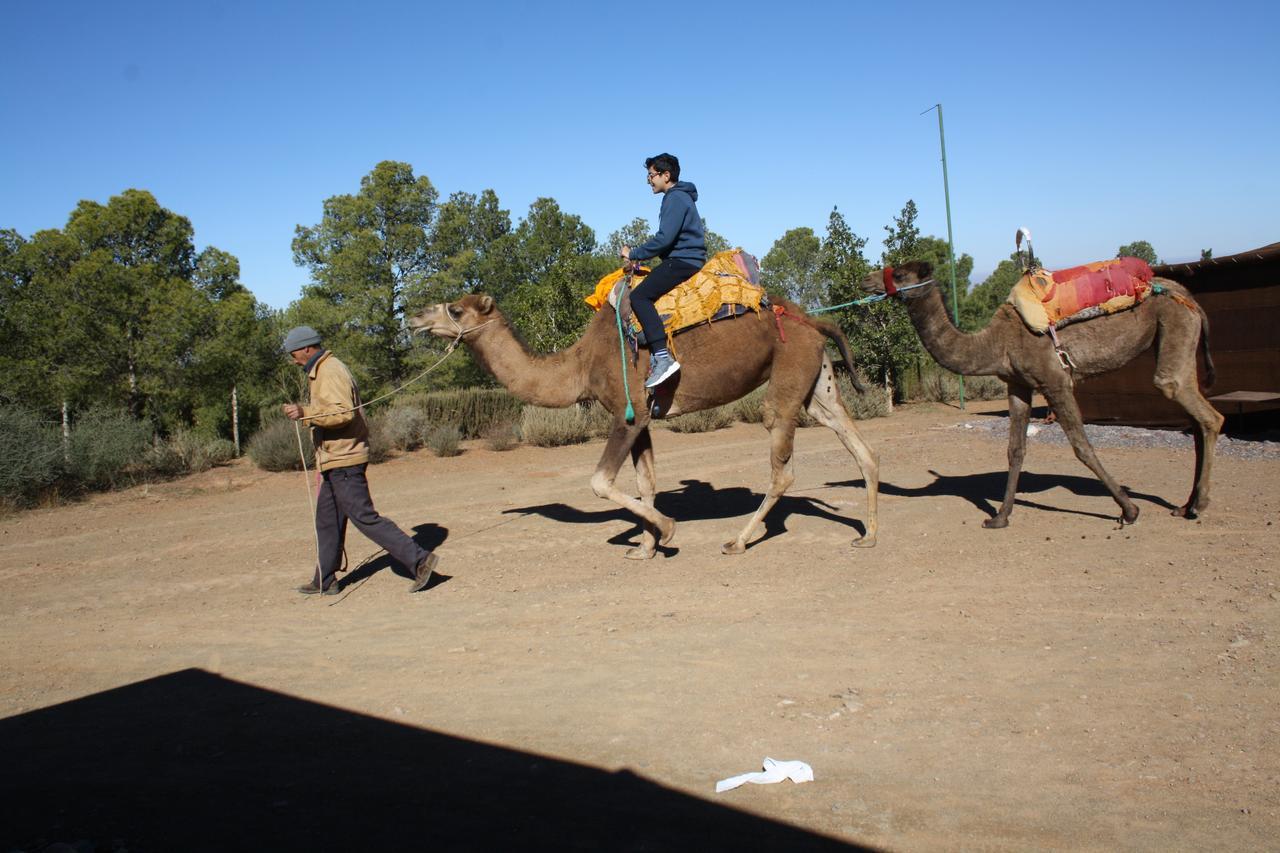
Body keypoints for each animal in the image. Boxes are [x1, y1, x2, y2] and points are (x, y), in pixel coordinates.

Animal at [409, 292, 880, 555]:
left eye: (455, 309)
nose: (414, 317)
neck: (580, 365)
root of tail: (813, 319)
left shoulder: (626, 411)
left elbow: (600, 482)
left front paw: (665, 532)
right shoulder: (644, 419)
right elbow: (646, 483)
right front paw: (647, 546)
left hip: (787, 370)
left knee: (783, 465)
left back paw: (737, 541)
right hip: (815, 378)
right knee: (859, 445)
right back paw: (867, 536)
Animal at [860, 258, 1218, 525]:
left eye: (901, 273)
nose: (866, 281)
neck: (996, 343)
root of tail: (1188, 296)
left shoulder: (1055, 381)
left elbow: (1081, 446)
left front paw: (1129, 511)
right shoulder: (1018, 384)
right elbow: (1015, 450)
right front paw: (1000, 517)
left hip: (1175, 323)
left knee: (1199, 410)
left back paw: (1197, 505)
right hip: (1174, 337)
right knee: (1196, 420)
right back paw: (1186, 505)